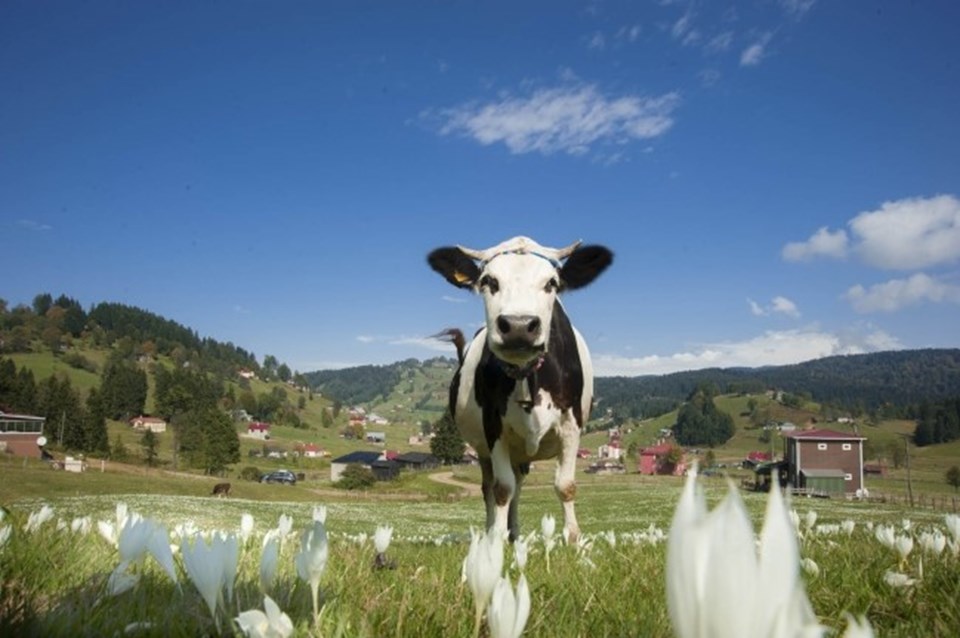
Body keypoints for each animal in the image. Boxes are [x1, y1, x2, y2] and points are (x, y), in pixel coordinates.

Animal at [430, 238, 616, 544]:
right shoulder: (493, 428)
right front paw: (495, 539)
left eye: (552, 283)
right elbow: (502, 488)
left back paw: (514, 533)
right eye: (488, 281)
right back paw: (496, 531)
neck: (526, 375)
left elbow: (565, 485)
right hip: (484, 450)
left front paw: (573, 540)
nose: (518, 326)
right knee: (491, 487)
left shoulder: (572, 424)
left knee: (518, 487)